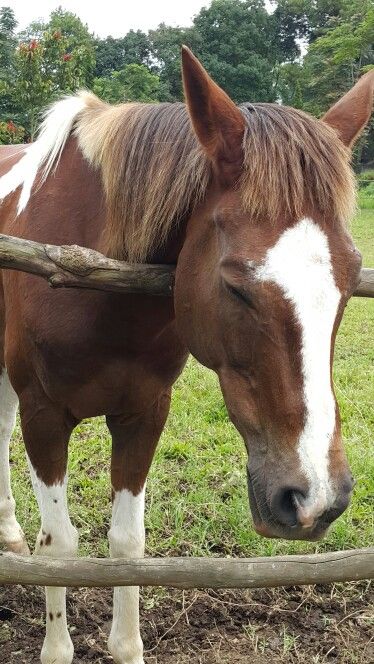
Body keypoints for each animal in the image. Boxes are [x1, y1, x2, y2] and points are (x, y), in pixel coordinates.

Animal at [0, 48, 372, 664]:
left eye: (350, 278)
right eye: (236, 286)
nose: (317, 497)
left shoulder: (144, 413)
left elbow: (127, 545)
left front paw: (126, 646)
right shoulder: (45, 417)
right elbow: (61, 547)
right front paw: (56, 647)